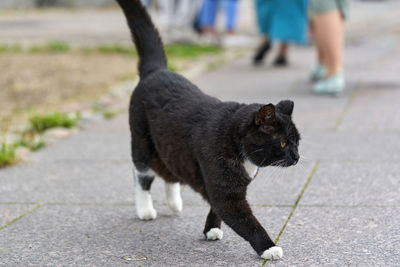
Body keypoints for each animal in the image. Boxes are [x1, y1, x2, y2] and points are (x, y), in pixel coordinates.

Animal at [115, 0, 300, 260]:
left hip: (171, 148)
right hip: (142, 142)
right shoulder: (225, 190)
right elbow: (243, 219)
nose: (297, 156)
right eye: (283, 143)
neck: (235, 141)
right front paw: (269, 247)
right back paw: (145, 209)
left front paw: (211, 229)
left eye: (297, 142)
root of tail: (157, 70)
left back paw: (174, 203)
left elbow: (215, 206)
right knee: (141, 174)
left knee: (169, 172)